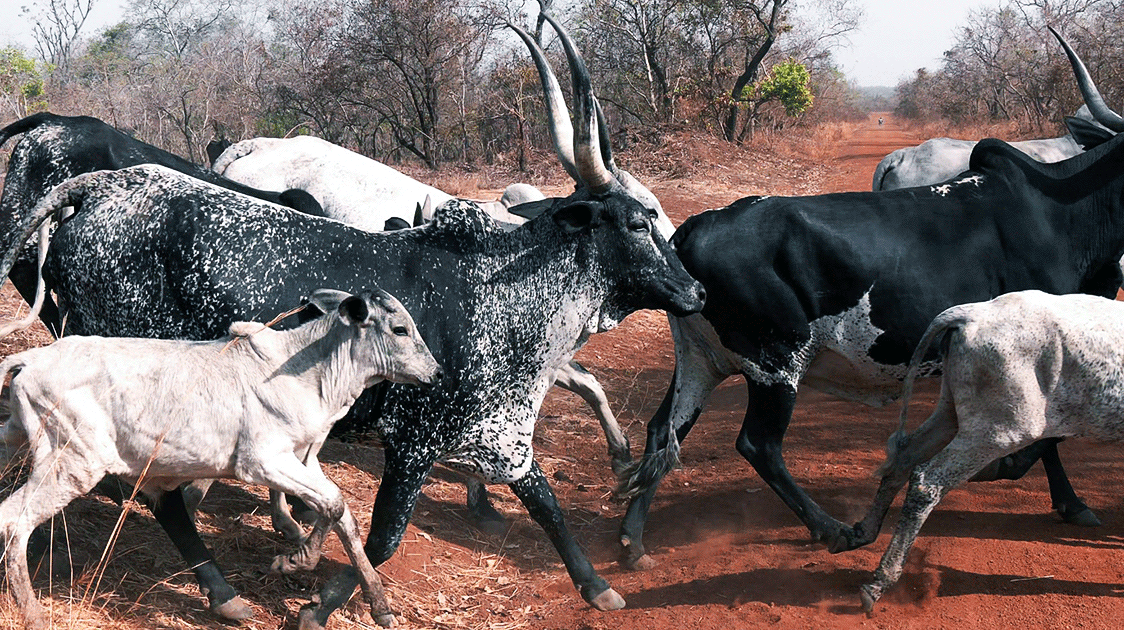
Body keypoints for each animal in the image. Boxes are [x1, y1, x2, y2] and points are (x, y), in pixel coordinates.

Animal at [0, 288, 441, 630]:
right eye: (400, 329)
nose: (436, 373)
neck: (307, 374)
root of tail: (32, 359)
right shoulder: (263, 462)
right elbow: (332, 506)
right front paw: (294, 560)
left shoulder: (304, 460)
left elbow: (345, 517)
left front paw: (378, 604)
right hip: (72, 460)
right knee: (13, 520)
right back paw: (32, 612)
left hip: (19, 435)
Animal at [613, 121, 1124, 571]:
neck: (1065, 213)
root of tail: (694, 228)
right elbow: (1048, 437)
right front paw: (1050, 491)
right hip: (776, 364)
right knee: (758, 445)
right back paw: (833, 529)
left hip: (701, 363)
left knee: (663, 432)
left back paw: (632, 541)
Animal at [856, 291, 1124, 611]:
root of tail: (971, 314)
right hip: (999, 431)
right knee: (926, 483)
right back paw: (881, 579)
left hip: (952, 416)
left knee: (903, 459)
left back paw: (861, 532)